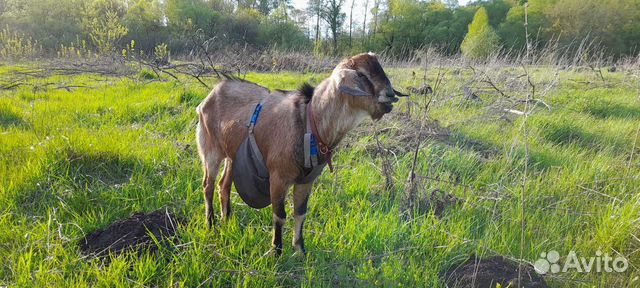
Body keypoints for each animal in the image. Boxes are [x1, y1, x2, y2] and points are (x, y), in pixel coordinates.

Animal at [196, 52, 404, 254]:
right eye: (361, 74)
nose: (390, 95)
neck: (310, 120)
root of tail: (209, 96)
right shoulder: (278, 177)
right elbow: (279, 215)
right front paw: (277, 251)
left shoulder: (306, 181)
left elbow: (300, 213)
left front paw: (300, 250)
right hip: (211, 150)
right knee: (208, 185)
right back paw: (211, 223)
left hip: (232, 155)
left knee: (223, 185)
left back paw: (226, 220)